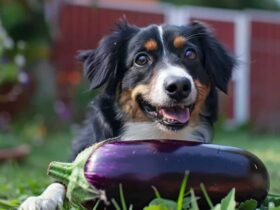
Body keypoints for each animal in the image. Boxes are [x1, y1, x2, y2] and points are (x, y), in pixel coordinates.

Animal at [19, 20, 234, 210]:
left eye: (190, 54)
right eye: (141, 59)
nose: (179, 86)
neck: (157, 135)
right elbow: (59, 182)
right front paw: (40, 200)